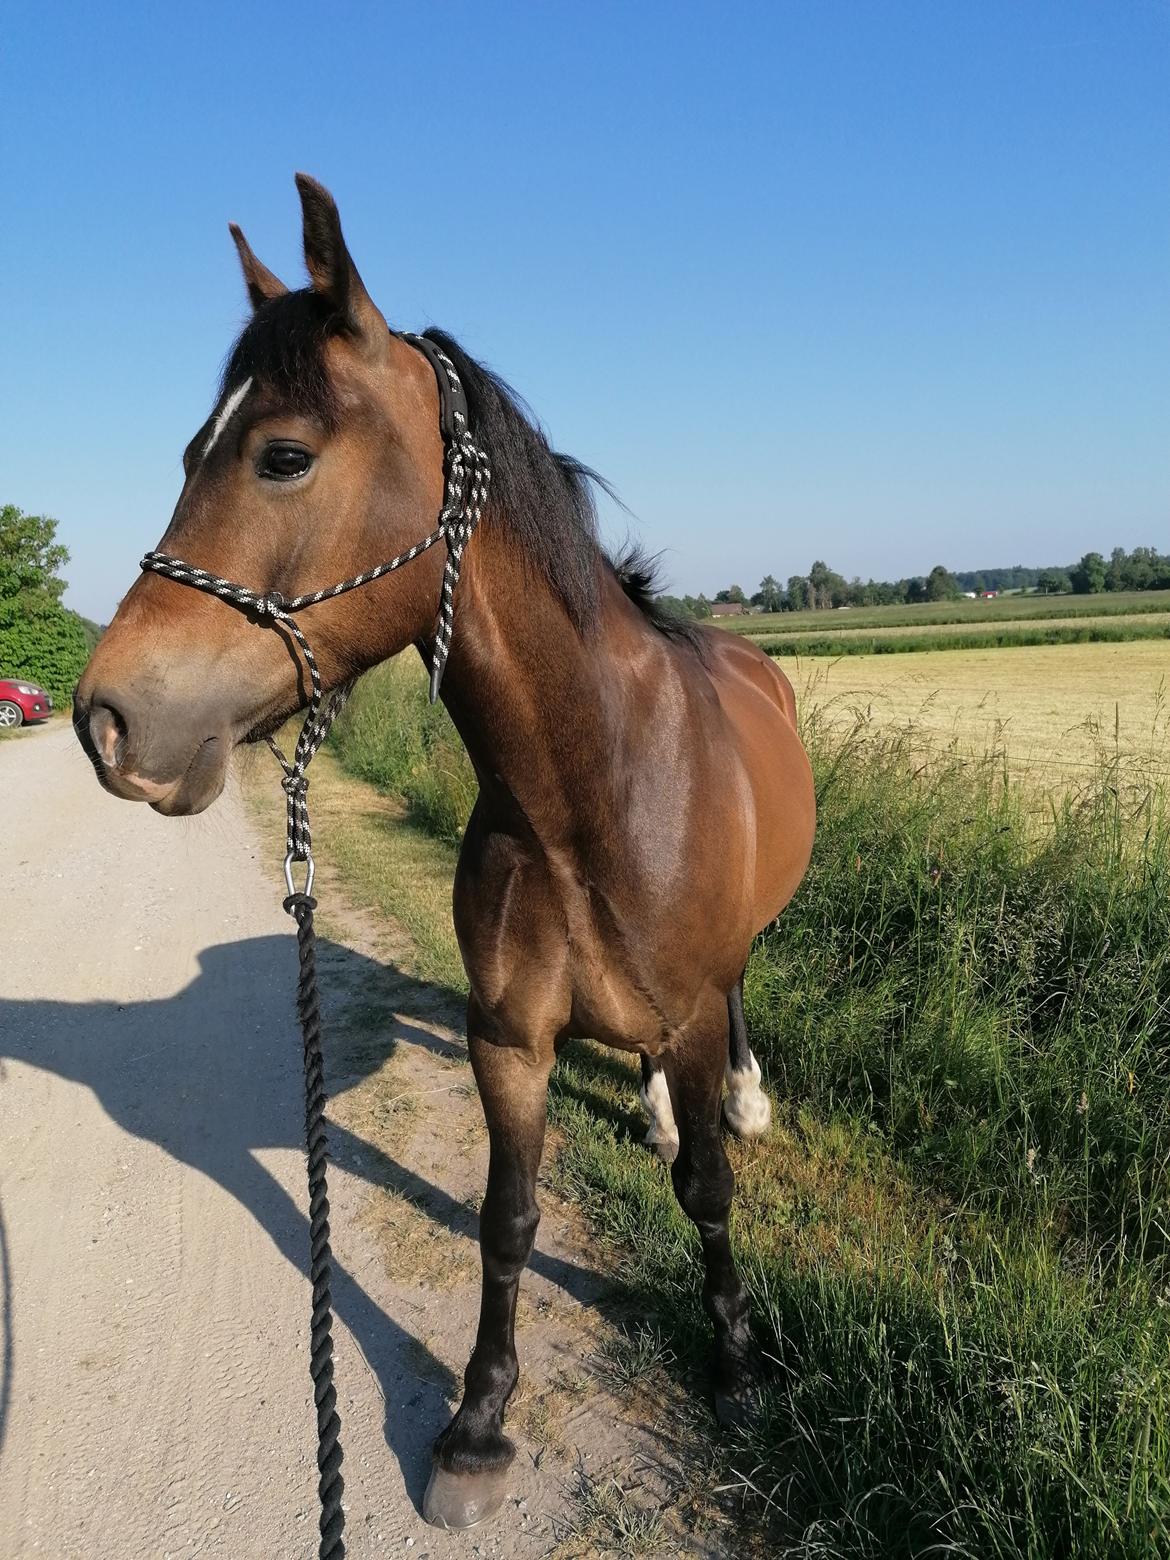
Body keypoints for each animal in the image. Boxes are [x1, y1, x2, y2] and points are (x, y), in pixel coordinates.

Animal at [73, 174, 816, 1531]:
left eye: (282, 455)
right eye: (191, 454)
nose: (108, 722)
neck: (593, 790)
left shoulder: (684, 1009)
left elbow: (708, 1197)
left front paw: (736, 1362)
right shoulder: (506, 1038)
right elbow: (508, 1217)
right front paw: (477, 1424)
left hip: (724, 969)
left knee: (734, 1003)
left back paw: (735, 1100)